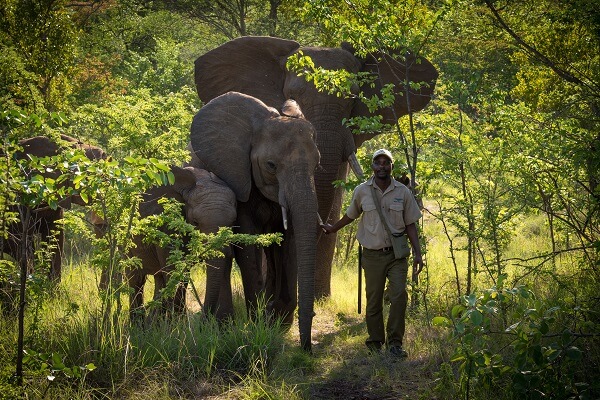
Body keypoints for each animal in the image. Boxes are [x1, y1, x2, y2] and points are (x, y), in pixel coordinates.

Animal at [124, 165, 237, 322]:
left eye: (233, 223)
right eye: (195, 222)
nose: (203, 319)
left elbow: (182, 274)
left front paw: (177, 322)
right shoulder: (167, 221)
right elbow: (174, 269)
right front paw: (175, 324)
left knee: (159, 277)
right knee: (136, 279)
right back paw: (137, 324)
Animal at [188, 90, 322, 350]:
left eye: (317, 164)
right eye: (271, 165)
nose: (307, 349)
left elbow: (289, 242)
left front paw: (278, 323)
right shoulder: (237, 176)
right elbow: (247, 246)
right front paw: (259, 323)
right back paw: (225, 324)